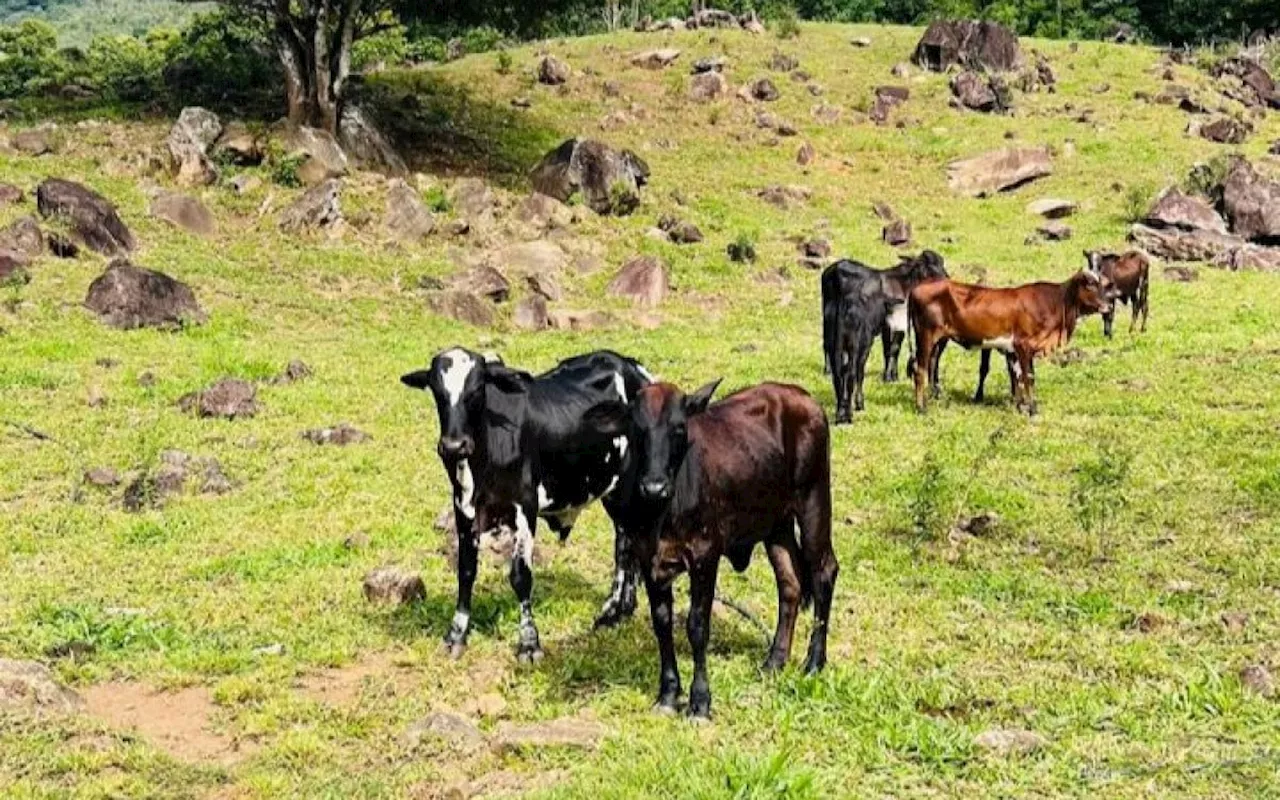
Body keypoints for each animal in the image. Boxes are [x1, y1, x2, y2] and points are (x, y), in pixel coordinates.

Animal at [399, 348, 655, 660]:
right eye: (436, 390)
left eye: (477, 389)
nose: (454, 445)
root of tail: (628, 364)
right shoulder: (464, 508)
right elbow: (466, 571)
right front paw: (456, 634)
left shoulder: (525, 508)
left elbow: (521, 576)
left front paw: (529, 642)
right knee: (625, 541)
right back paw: (619, 610)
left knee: (625, 546)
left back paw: (613, 610)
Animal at [583, 378, 839, 716]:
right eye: (637, 429)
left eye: (679, 428)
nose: (654, 486)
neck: (664, 510)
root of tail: (802, 397)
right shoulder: (649, 559)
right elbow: (662, 623)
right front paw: (668, 694)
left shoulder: (705, 556)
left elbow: (697, 626)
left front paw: (700, 701)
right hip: (776, 525)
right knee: (791, 583)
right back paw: (775, 660)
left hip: (814, 502)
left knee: (824, 572)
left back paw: (813, 663)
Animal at [819, 249, 952, 424]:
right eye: (928, 265)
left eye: (941, 263)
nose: (946, 278)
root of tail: (833, 267)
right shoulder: (889, 325)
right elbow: (890, 349)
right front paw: (887, 376)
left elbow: (895, 349)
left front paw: (893, 375)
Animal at [911, 271, 1121, 414]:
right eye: (1090, 285)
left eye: (1102, 284)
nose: (1108, 306)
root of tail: (917, 288)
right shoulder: (1023, 345)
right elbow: (1027, 377)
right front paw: (1032, 408)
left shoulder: (1017, 349)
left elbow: (1020, 378)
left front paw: (1021, 406)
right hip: (926, 336)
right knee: (920, 369)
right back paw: (921, 407)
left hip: (937, 340)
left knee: (930, 365)